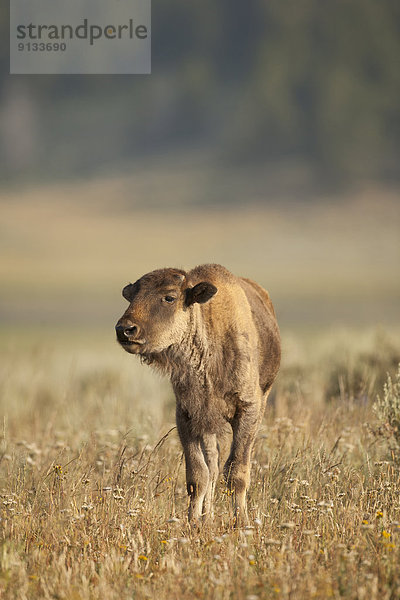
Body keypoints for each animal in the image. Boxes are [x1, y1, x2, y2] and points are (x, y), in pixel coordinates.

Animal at [114, 264, 280, 524]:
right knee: (212, 465)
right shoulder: (188, 415)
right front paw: (193, 521)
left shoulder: (248, 410)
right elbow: (198, 474)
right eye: (132, 297)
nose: (125, 330)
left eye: (170, 297)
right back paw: (207, 517)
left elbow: (237, 471)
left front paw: (241, 523)